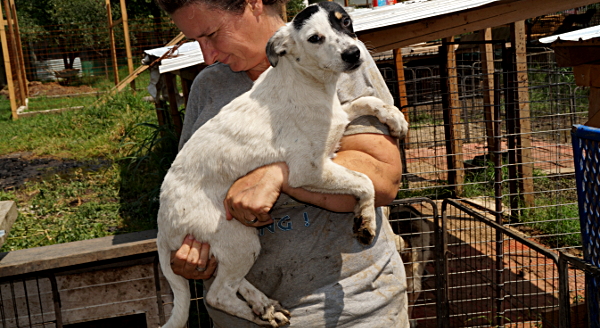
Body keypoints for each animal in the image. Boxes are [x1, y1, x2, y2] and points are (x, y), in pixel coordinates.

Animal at [157, 3, 408, 328]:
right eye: (314, 38)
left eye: (345, 22)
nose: (354, 53)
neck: (309, 83)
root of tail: (162, 225)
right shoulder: (309, 170)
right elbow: (364, 181)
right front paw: (365, 221)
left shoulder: (338, 120)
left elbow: (365, 101)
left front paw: (394, 116)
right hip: (239, 239)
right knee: (217, 295)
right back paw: (262, 315)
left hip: (231, 246)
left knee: (230, 284)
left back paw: (263, 305)